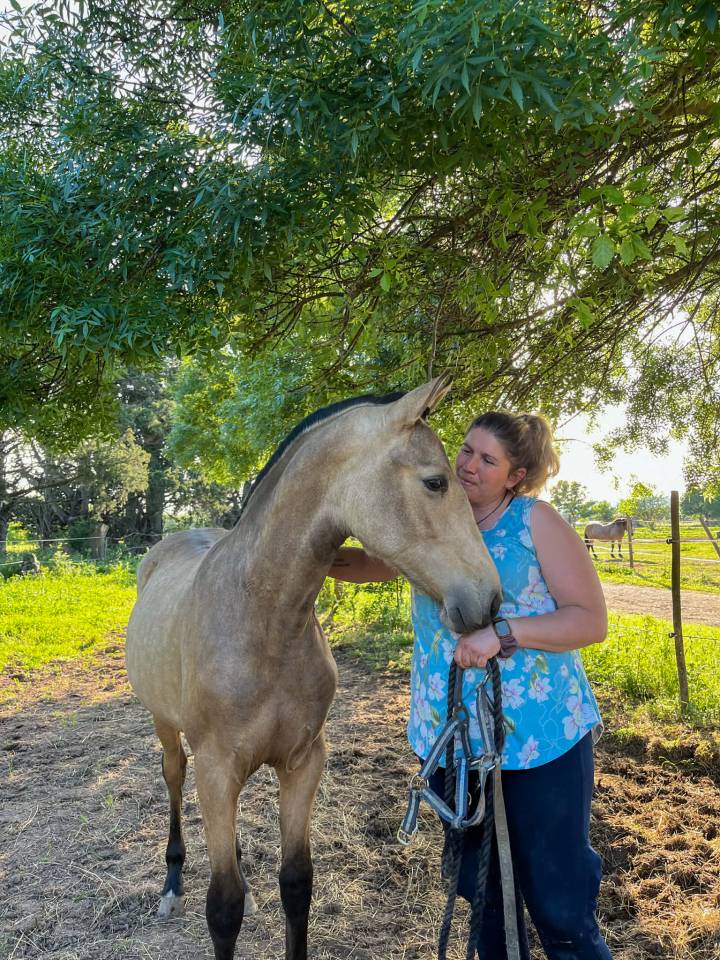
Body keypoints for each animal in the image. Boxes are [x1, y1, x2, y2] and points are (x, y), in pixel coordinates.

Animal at [124, 375, 502, 960]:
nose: (489, 601)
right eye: (436, 482)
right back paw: (171, 885)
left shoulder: (303, 763)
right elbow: (223, 907)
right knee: (173, 777)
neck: (263, 621)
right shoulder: (216, 767)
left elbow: (297, 883)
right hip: (169, 732)